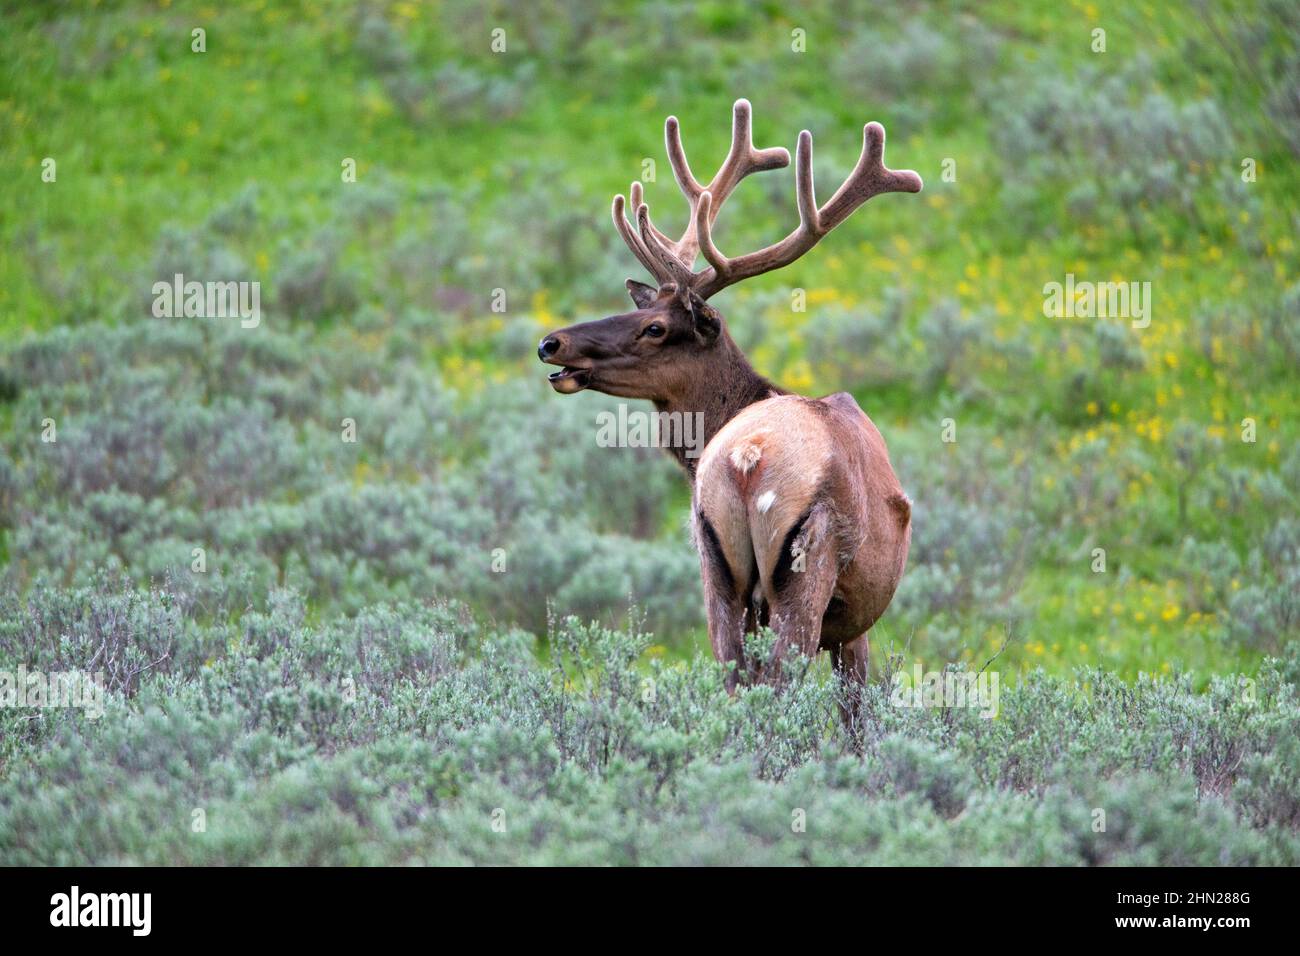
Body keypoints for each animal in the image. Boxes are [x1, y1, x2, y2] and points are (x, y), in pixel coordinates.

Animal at [533, 100, 920, 702]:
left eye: (654, 327)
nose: (551, 342)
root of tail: (747, 459)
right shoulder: (856, 623)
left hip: (714, 566)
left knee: (734, 678)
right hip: (809, 567)